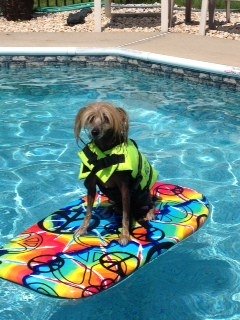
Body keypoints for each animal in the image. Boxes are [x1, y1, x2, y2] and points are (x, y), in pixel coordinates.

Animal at [74, 102, 158, 245]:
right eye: (91, 118)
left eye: (106, 118)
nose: (94, 132)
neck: (105, 153)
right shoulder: (91, 186)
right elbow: (88, 212)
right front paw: (83, 228)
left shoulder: (125, 189)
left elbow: (126, 215)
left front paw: (125, 235)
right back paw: (109, 209)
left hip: (142, 194)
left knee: (150, 202)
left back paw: (150, 212)